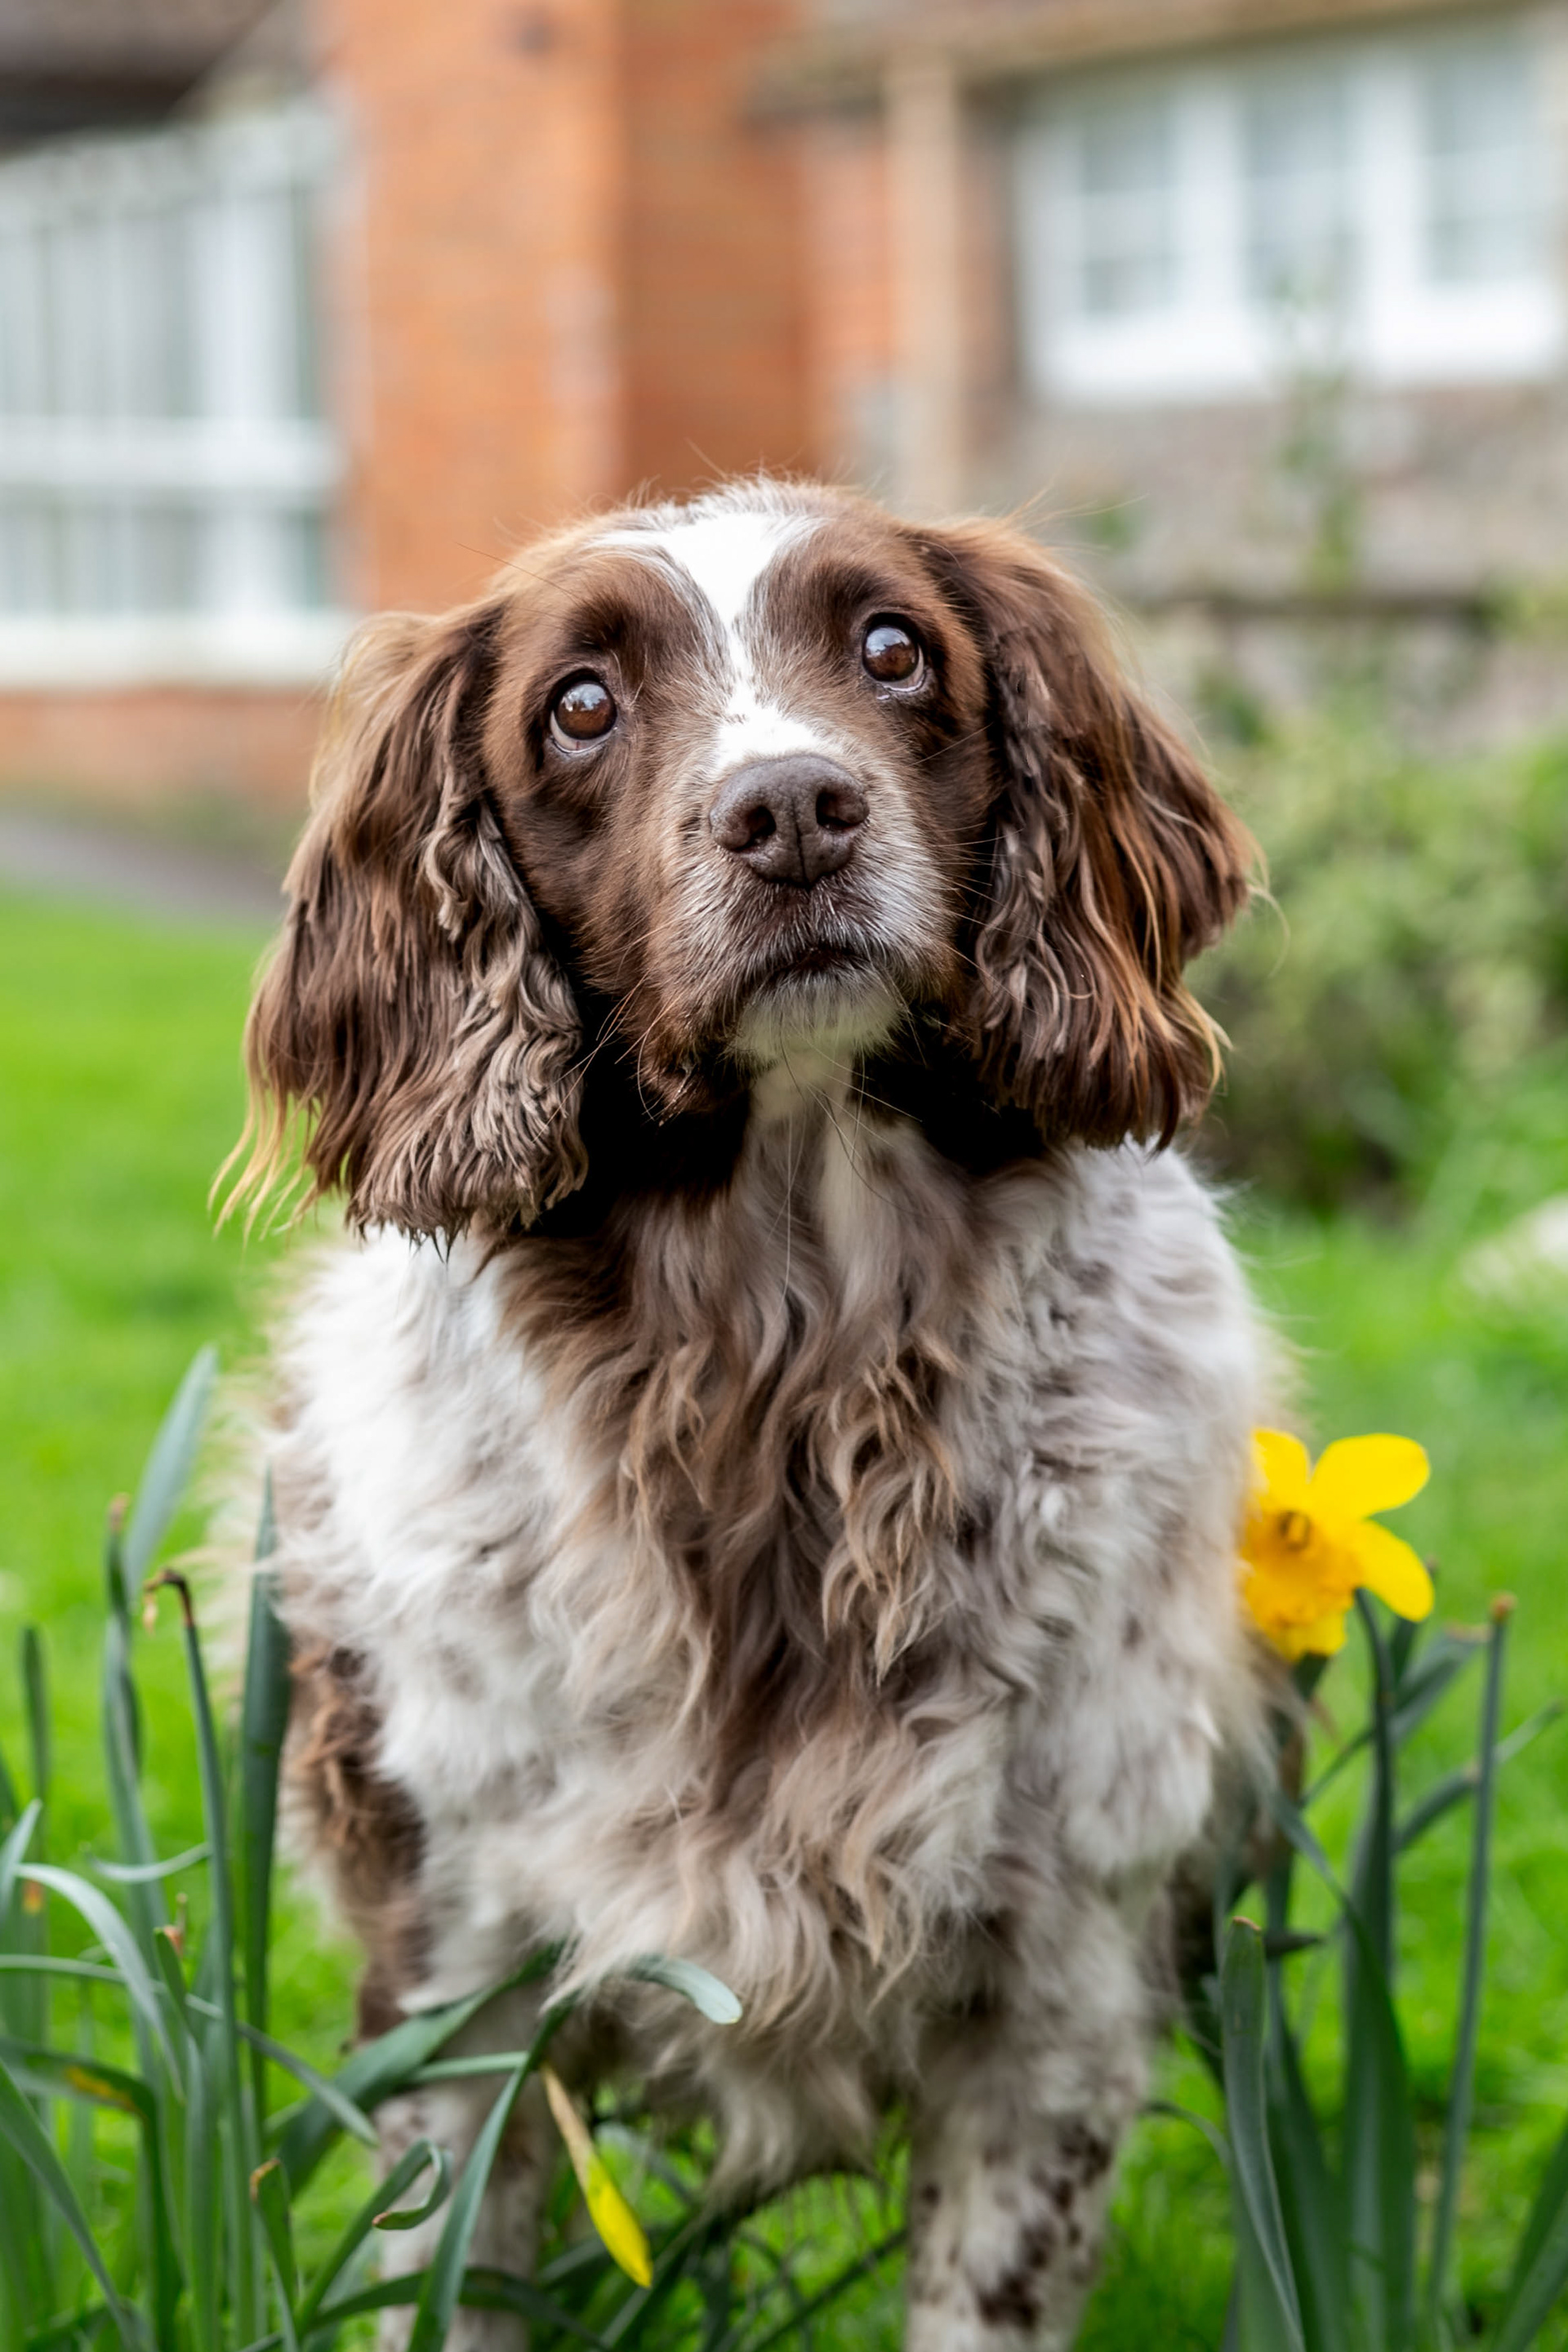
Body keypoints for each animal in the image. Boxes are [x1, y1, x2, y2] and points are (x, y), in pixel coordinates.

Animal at [238, 478, 1269, 2350]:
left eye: (894, 648)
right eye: (580, 705)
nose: (792, 812)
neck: (789, 1379)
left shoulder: (1059, 2006)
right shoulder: (455, 1997)